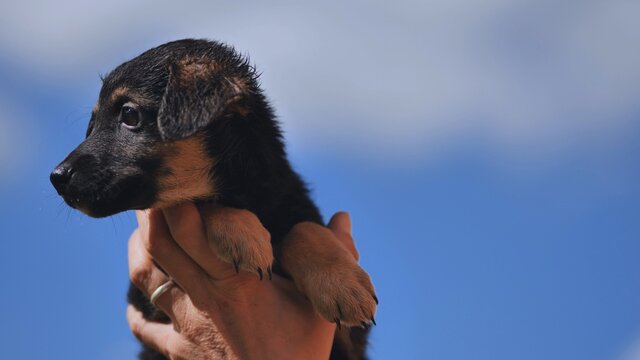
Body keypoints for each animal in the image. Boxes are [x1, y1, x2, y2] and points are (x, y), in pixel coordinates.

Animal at [53, 38, 380, 358]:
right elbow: (201, 202)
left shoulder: (349, 339)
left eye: (129, 114)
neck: (248, 194)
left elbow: (305, 228)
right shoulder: (146, 299)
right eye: (92, 125)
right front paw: (242, 233)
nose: (56, 177)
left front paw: (342, 285)